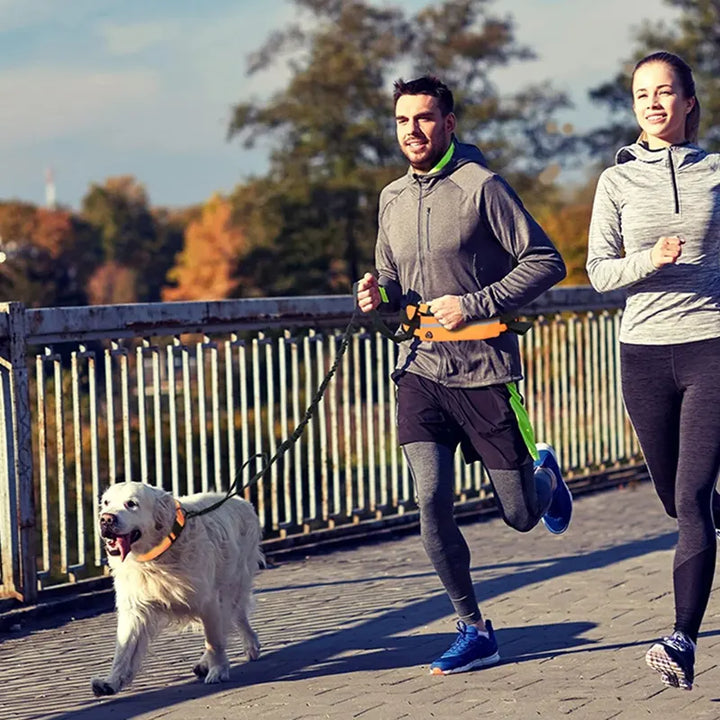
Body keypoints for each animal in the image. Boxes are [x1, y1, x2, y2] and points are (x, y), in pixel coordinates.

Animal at [91, 484, 262, 696]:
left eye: (131, 504)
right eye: (106, 502)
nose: (106, 519)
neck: (156, 557)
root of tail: (241, 501)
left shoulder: (208, 600)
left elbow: (214, 640)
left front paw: (218, 670)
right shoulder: (135, 607)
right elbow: (124, 649)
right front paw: (111, 682)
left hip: (233, 583)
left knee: (235, 617)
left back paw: (247, 646)